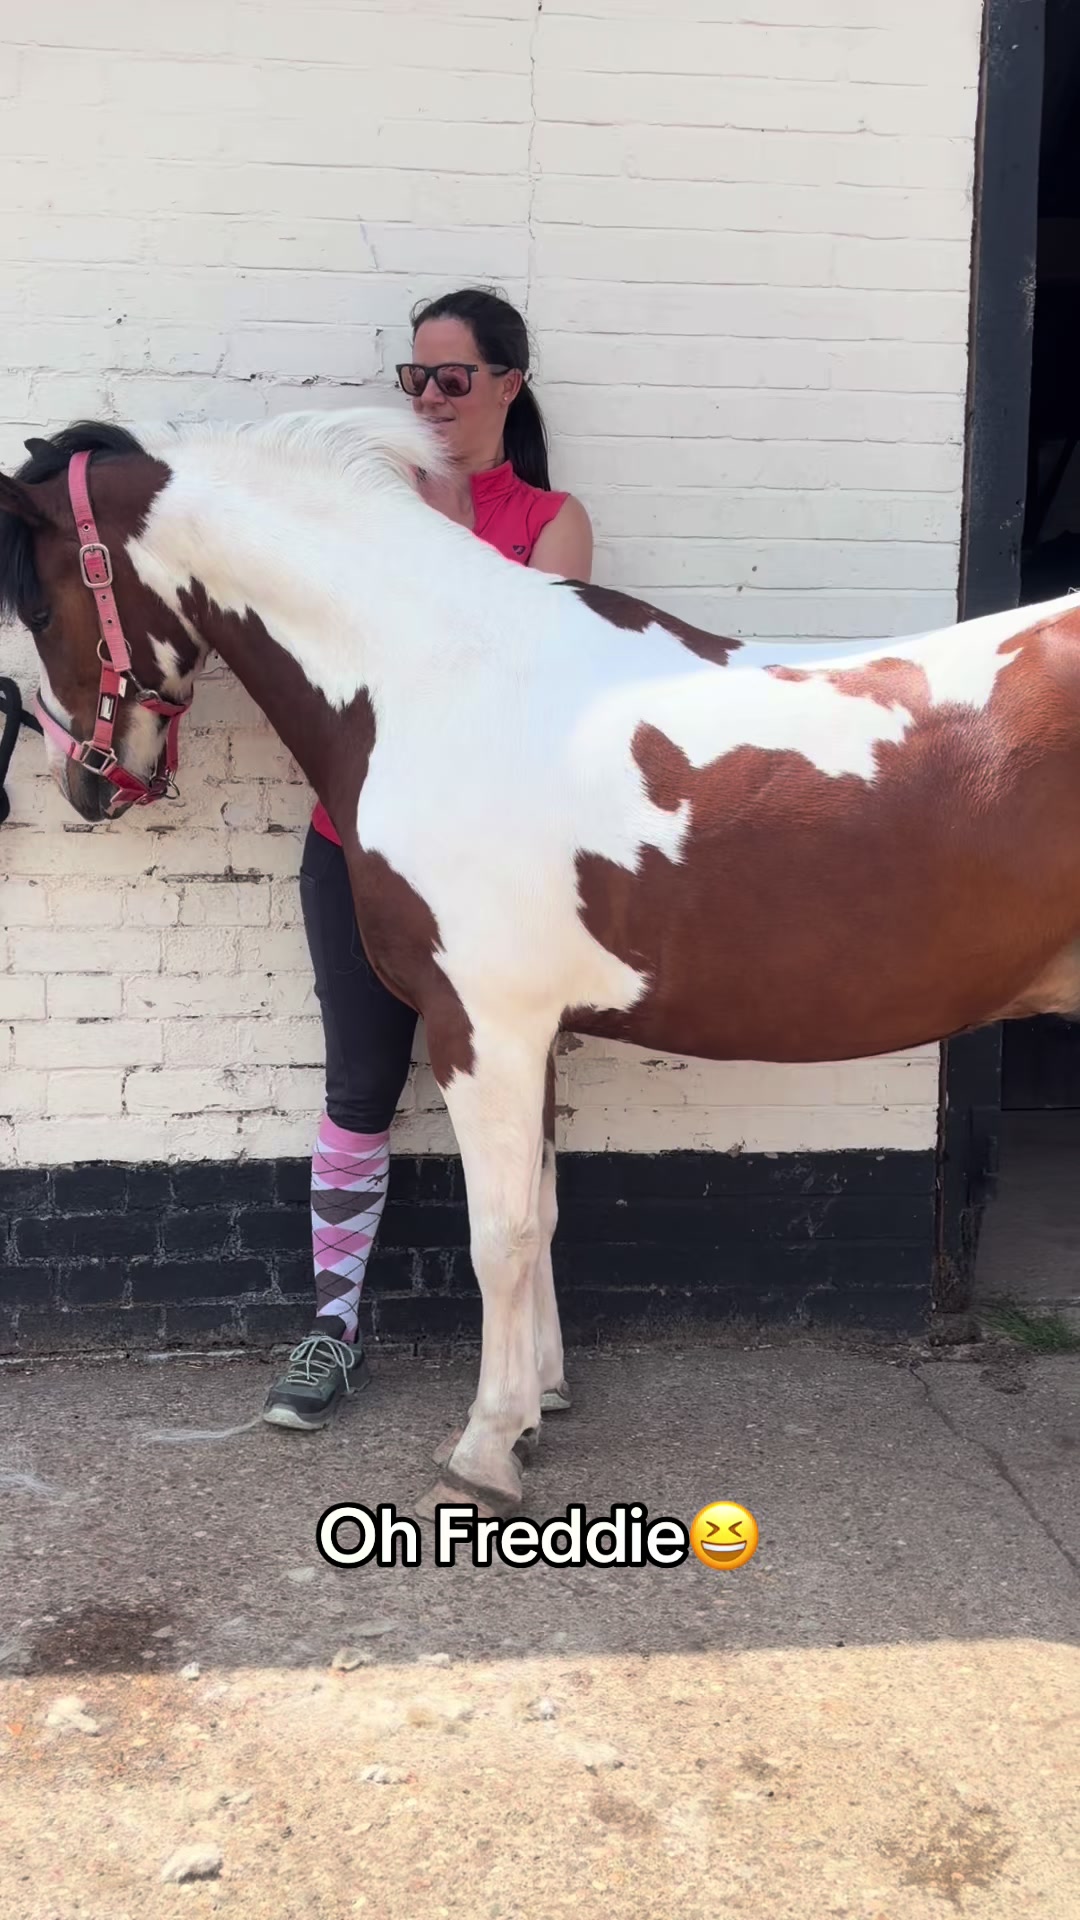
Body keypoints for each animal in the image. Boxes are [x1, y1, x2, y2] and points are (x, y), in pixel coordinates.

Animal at [4, 406, 1080, 1519]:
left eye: (38, 603)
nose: (84, 783)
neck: (440, 681)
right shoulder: (536, 1033)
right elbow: (547, 1212)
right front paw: (540, 1401)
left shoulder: (480, 1027)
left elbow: (502, 1234)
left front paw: (486, 1445)